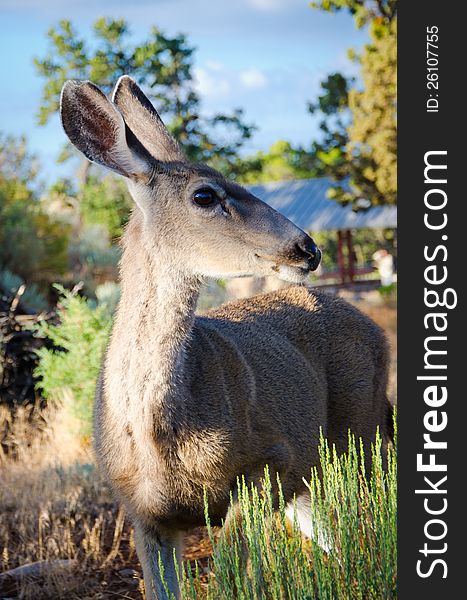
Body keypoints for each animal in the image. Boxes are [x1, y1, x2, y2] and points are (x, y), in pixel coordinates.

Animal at [60, 77, 394, 600]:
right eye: (204, 195)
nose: (307, 248)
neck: (160, 437)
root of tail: (374, 326)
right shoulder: (141, 512)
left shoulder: (272, 460)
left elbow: (241, 572)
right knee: (334, 539)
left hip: (364, 432)